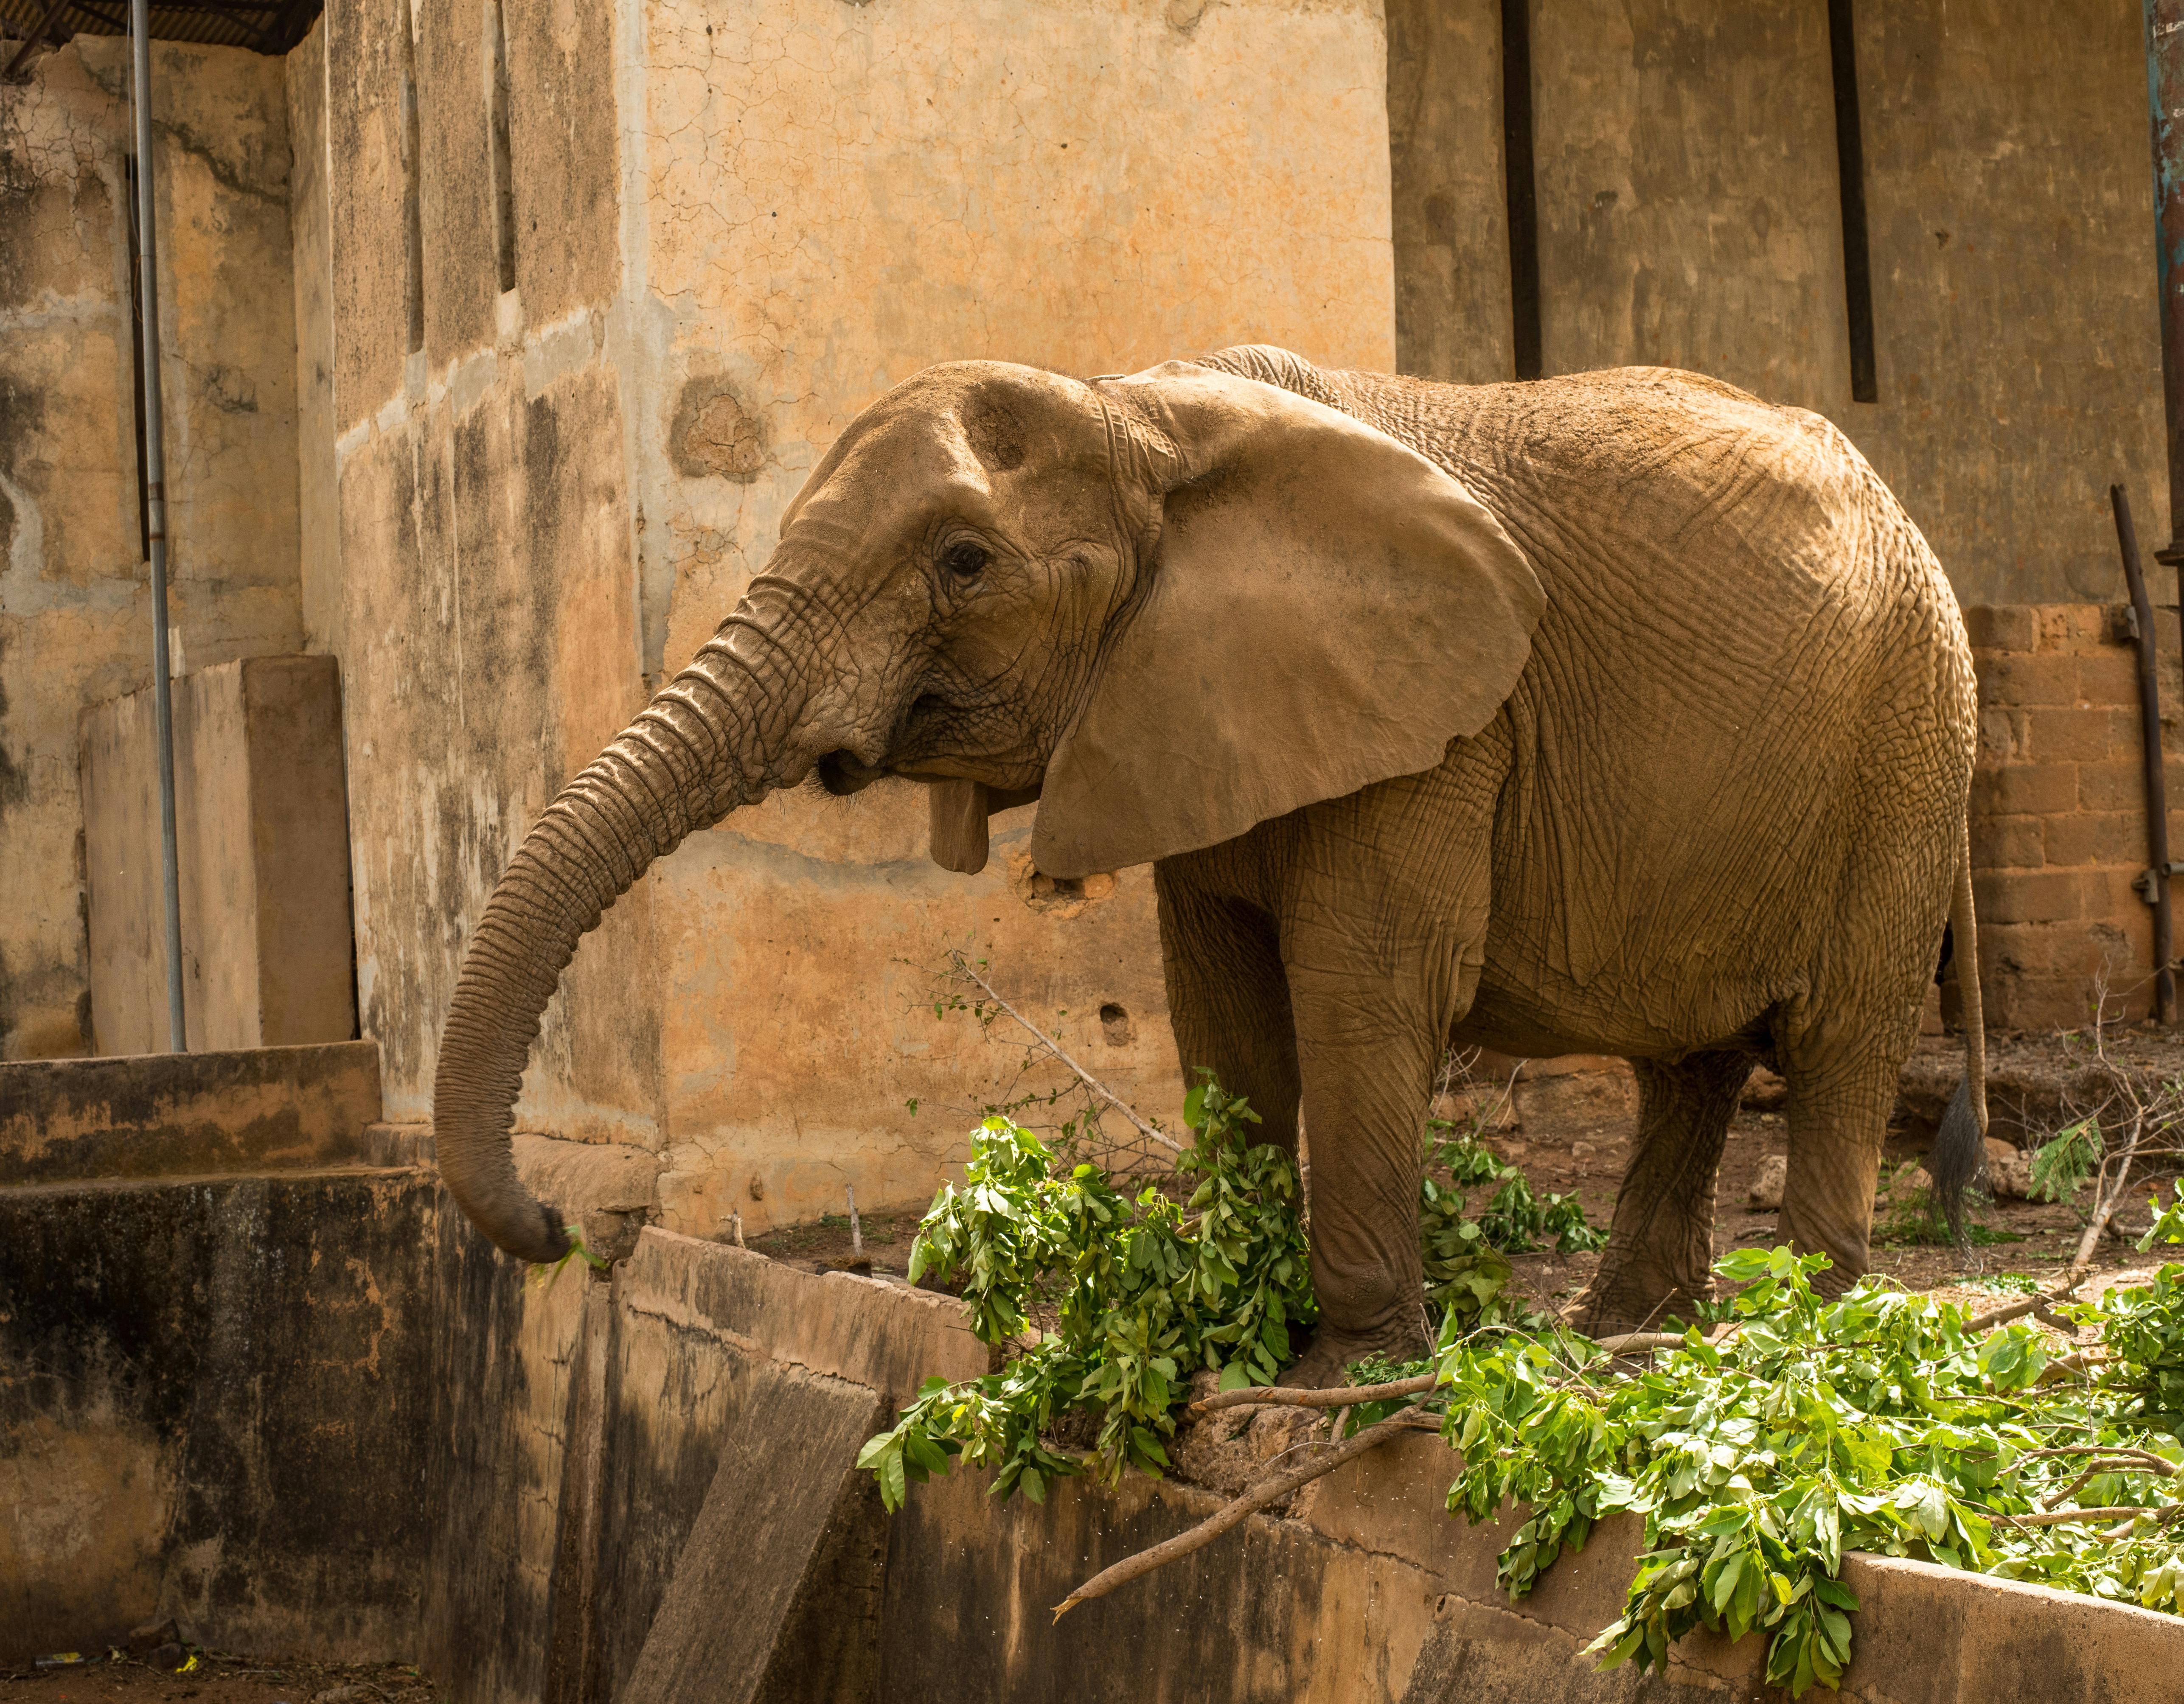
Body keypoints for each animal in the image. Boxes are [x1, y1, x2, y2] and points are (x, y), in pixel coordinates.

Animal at [432, 342, 1989, 1383]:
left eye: (963, 564)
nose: (566, 1232)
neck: (1139, 413)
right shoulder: (1188, 708)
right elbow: (1223, 1010)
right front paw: (1225, 1332)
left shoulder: (1439, 726)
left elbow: (1363, 991)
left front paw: (1355, 1380)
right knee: (1691, 1062)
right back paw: (1631, 1337)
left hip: (1914, 735)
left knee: (1839, 1036)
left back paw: (1801, 1340)